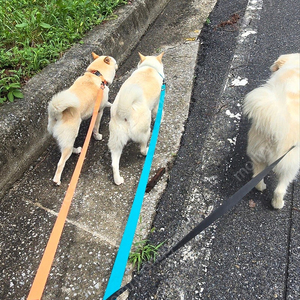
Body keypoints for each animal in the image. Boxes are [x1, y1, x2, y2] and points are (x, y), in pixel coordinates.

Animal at [108, 53, 164, 186]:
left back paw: (118, 180)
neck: (149, 67)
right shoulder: (157, 103)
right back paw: (148, 150)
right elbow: (158, 112)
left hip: (116, 142)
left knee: (114, 164)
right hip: (145, 132)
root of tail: (124, 113)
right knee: (142, 149)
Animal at [244, 53, 300, 209]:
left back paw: (261, 187)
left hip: (257, 154)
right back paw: (278, 204)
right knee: (280, 190)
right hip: (290, 166)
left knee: (257, 179)